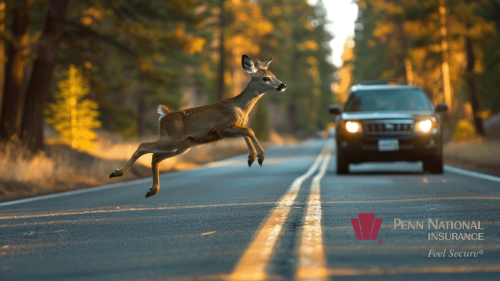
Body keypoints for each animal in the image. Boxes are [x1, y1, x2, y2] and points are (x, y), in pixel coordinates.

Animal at [111, 54, 288, 197]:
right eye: (265, 78)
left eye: (274, 75)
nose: (282, 85)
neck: (240, 108)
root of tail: (164, 115)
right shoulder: (222, 127)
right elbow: (249, 130)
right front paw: (260, 156)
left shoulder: (230, 128)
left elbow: (246, 132)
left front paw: (251, 157)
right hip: (172, 139)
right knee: (144, 146)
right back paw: (117, 173)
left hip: (183, 146)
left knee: (155, 157)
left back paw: (152, 190)